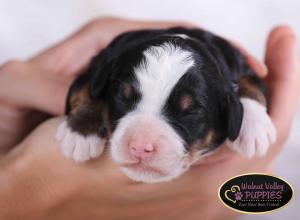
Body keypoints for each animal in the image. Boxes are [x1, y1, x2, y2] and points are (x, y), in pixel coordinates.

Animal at [55, 27, 276, 182]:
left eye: (191, 111)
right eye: (122, 97)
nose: (140, 147)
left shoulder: (239, 62)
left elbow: (251, 83)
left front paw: (254, 127)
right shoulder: (101, 61)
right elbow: (88, 86)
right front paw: (80, 132)